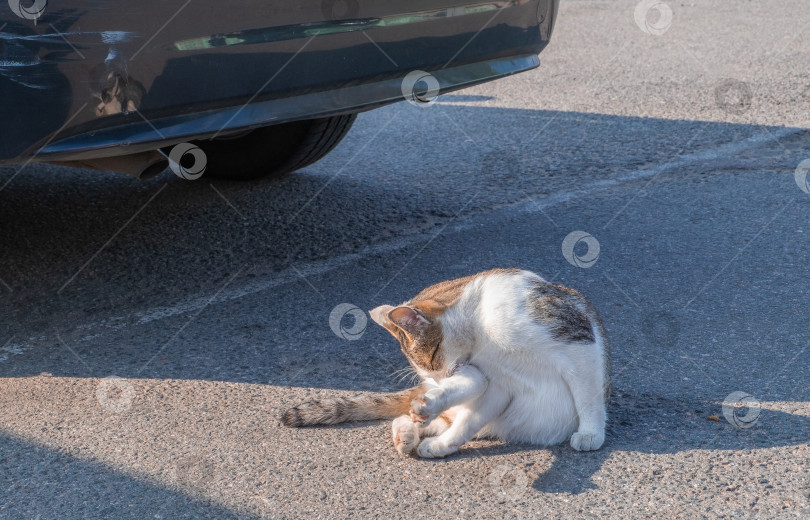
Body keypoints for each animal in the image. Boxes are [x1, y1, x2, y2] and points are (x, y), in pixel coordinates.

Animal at [280, 268, 608, 460]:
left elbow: (588, 394)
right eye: (426, 367)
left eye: (434, 356)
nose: (439, 379)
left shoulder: (577, 342)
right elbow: (469, 416)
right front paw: (442, 443)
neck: (483, 332)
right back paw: (410, 428)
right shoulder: (496, 382)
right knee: (438, 410)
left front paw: (591, 432)